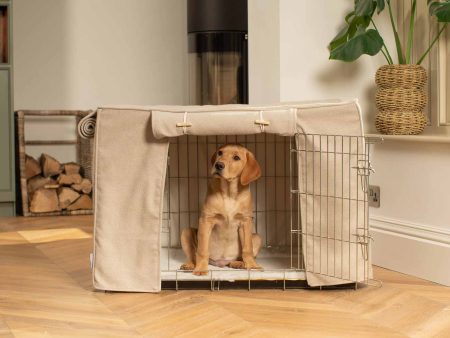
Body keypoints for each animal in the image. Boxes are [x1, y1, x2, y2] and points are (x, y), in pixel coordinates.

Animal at [180, 145, 264, 274]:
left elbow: (247, 249)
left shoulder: (245, 221)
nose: (218, 165)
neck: (229, 193)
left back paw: (239, 263)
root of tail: (221, 263)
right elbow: (202, 250)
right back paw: (190, 265)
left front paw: (252, 265)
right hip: (186, 232)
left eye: (236, 157)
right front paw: (201, 269)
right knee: (192, 255)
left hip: (257, 237)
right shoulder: (206, 220)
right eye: (220, 153)